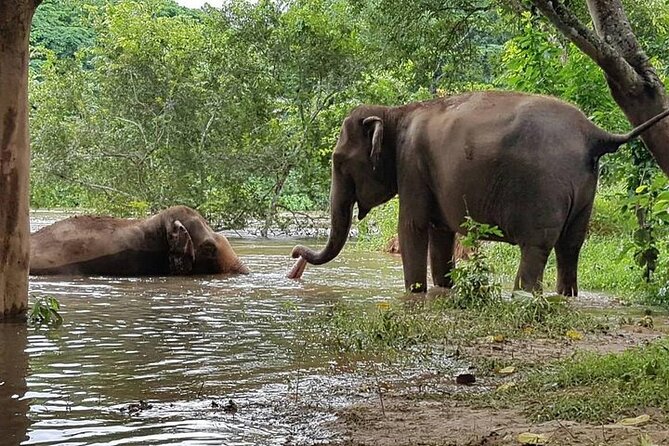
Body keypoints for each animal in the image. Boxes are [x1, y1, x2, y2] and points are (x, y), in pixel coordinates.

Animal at [290, 89, 668, 296]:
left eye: (339, 162)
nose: (295, 257)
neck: (395, 112)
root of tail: (594, 134)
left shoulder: (412, 164)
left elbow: (412, 228)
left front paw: (415, 293)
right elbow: (441, 233)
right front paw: (443, 288)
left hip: (545, 189)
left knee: (537, 246)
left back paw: (523, 295)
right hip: (587, 187)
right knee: (571, 246)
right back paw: (566, 296)